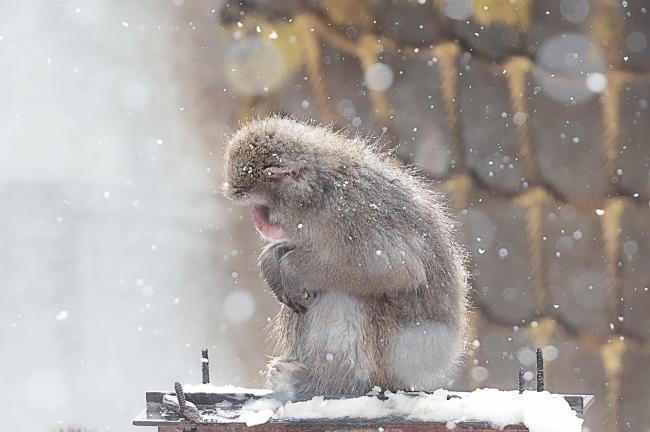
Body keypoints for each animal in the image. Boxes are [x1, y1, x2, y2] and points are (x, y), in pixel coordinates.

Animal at [221, 116, 466, 396]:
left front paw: (290, 267)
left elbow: (397, 268)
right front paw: (272, 261)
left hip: (402, 355)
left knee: (349, 295)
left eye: (259, 207)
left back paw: (334, 381)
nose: (257, 223)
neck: (317, 193)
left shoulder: (350, 212)